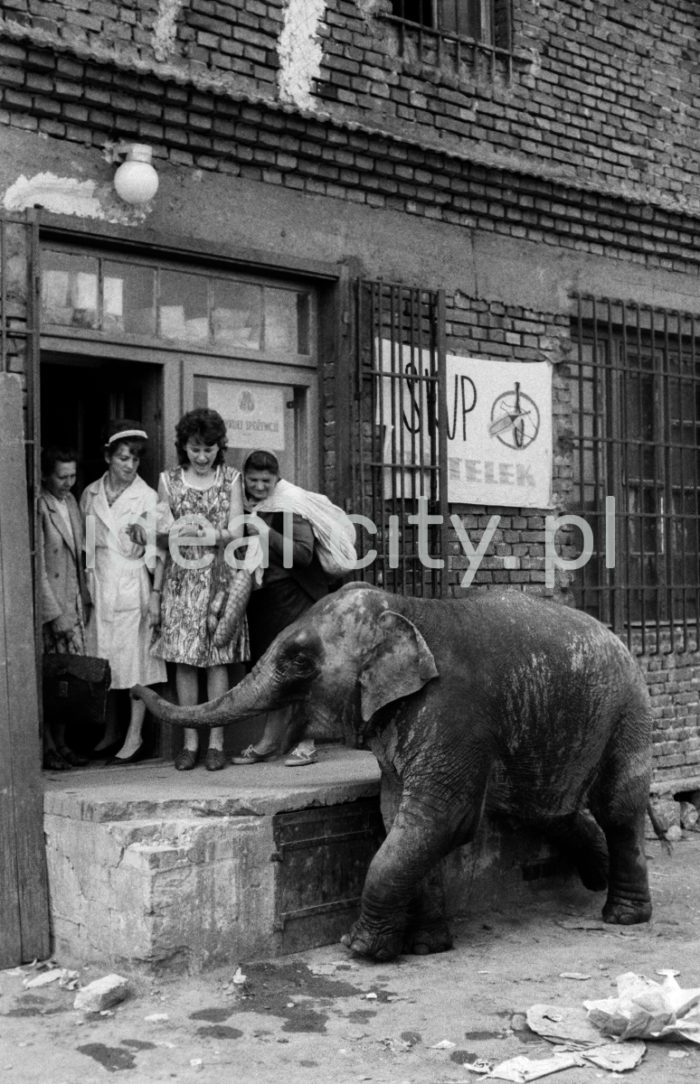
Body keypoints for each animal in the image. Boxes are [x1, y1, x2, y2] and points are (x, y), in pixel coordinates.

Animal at [134, 585, 654, 958]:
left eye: (297, 659)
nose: (139, 684)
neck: (407, 609)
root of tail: (619, 638)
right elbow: (397, 816)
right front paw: (425, 947)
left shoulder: (451, 712)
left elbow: (440, 820)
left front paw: (358, 948)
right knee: (548, 809)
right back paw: (596, 877)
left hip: (629, 709)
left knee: (616, 805)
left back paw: (624, 916)